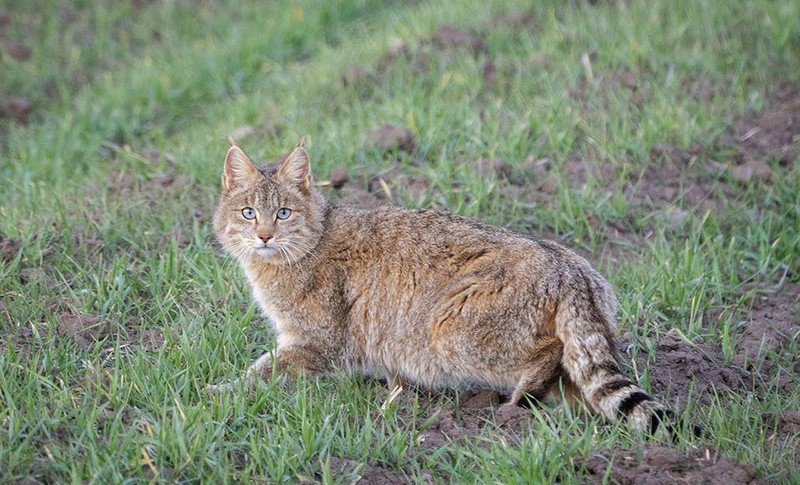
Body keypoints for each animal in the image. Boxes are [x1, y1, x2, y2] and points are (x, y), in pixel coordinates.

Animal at [208, 139, 668, 432]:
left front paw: (217, 391)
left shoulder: (315, 342)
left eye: (283, 213)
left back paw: (516, 404)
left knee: (550, 352)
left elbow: (260, 372)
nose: (264, 235)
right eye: (248, 212)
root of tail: (569, 267)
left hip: (449, 331)